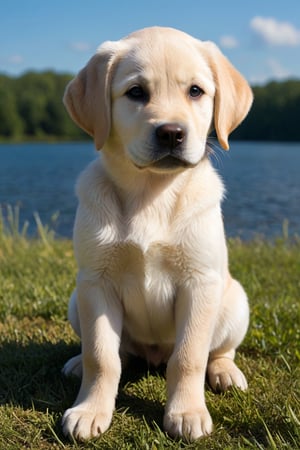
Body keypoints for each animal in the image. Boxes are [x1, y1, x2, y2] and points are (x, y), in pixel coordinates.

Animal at [62, 26, 252, 442]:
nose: (171, 133)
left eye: (196, 91)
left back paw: (225, 373)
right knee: (116, 353)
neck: (152, 193)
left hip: (235, 302)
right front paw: (90, 410)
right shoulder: (96, 283)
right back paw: (77, 363)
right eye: (136, 92)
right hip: (76, 299)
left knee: (217, 351)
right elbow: (101, 356)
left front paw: (187, 413)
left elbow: (189, 356)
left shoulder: (199, 283)